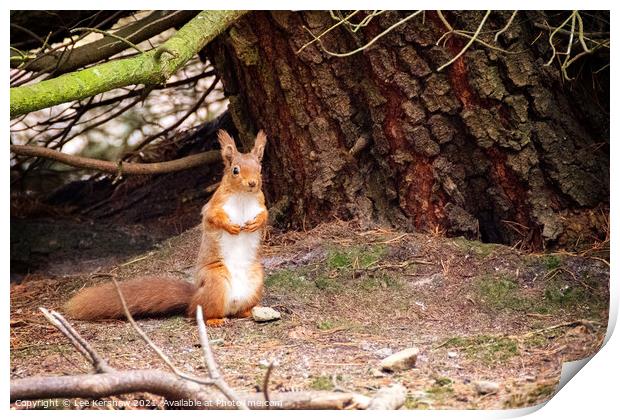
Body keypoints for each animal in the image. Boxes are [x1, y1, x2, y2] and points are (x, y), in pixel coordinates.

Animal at [65, 130, 268, 326]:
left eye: (260, 168)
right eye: (235, 170)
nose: (252, 183)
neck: (243, 196)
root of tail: (194, 297)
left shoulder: (261, 203)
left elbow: (265, 215)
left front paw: (256, 223)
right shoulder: (213, 205)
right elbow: (213, 217)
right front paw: (231, 226)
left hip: (256, 280)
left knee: (236, 310)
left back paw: (248, 311)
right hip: (215, 283)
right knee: (199, 313)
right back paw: (214, 320)